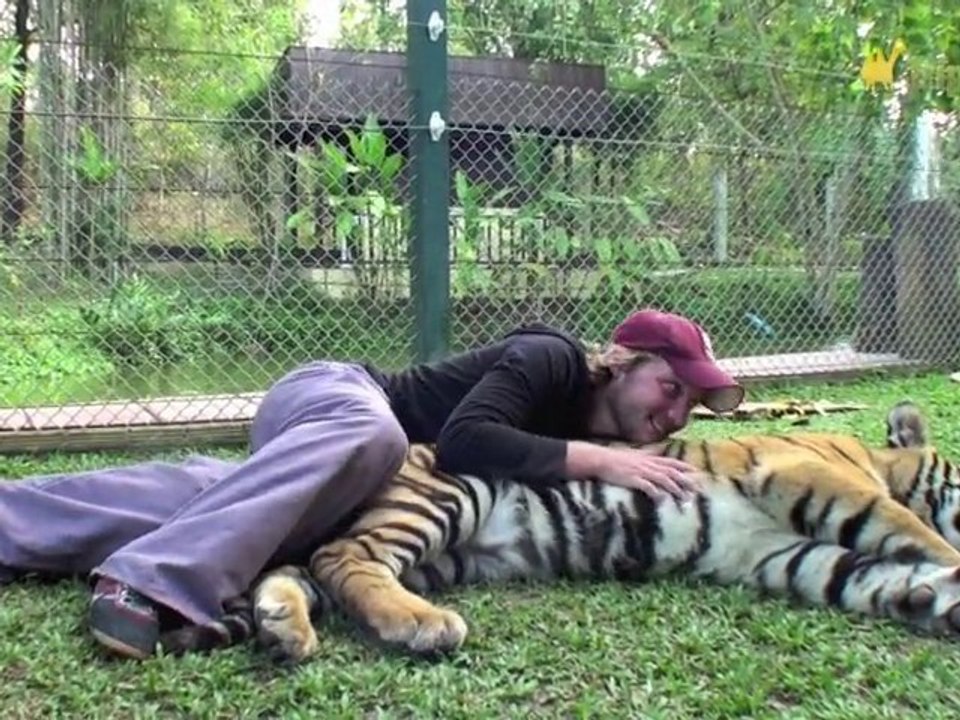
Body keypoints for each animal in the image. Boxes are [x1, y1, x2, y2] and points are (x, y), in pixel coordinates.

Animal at [158, 399, 960, 663]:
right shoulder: (808, 474)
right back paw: (423, 626)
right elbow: (910, 532)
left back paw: (283, 628)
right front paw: (949, 570)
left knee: (300, 569)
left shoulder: (782, 553)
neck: (883, 462)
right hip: (452, 489)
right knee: (342, 556)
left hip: (444, 557)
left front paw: (931, 600)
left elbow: (868, 571)